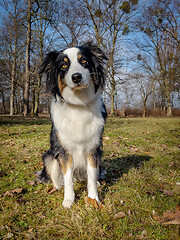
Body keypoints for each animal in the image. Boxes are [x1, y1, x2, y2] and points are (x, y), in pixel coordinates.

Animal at [36, 41, 107, 208]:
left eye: (84, 61)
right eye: (63, 65)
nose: (76, 77)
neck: (79, 104)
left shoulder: (94, 149)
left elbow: (92, 177)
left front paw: (94, 198)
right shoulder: (64, 151)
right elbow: (68, 178)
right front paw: (69, 200)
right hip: (49, 157)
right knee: (58, 177)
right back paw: (57, 187)